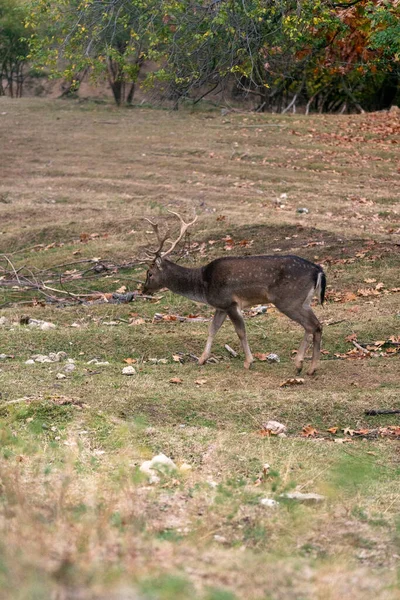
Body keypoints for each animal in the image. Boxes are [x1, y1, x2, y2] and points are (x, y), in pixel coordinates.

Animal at [142, 212, 326, 376]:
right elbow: (212, 329)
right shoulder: (220, 306)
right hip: (304, 301)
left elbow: (240, 332)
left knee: (312, 325)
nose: (143, 290)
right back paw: (308, 367)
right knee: (315, 325)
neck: (203, 284)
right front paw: (201, 359)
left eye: (149, 273)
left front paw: (248, 362)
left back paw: (303, 366)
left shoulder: (230, 303)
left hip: (288, 300)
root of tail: (318, 270)